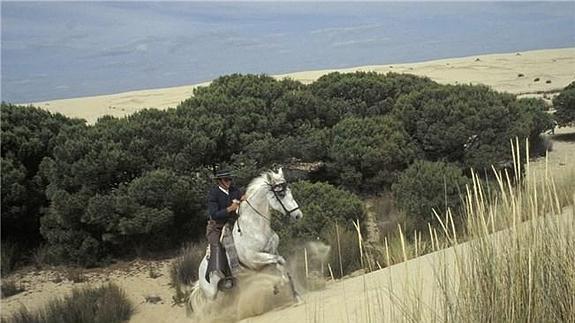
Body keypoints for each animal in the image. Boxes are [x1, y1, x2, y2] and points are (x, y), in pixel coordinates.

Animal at [191, 170, 304, 306]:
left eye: (289, 191)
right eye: (281, 194)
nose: (298, 215)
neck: (255, 227)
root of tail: (199, 274)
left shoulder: (272, 252)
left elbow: (281, 263)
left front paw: (294, 295)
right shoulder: (254, 258)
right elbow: (280, 261)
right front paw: (277, 286)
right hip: (211, 294)